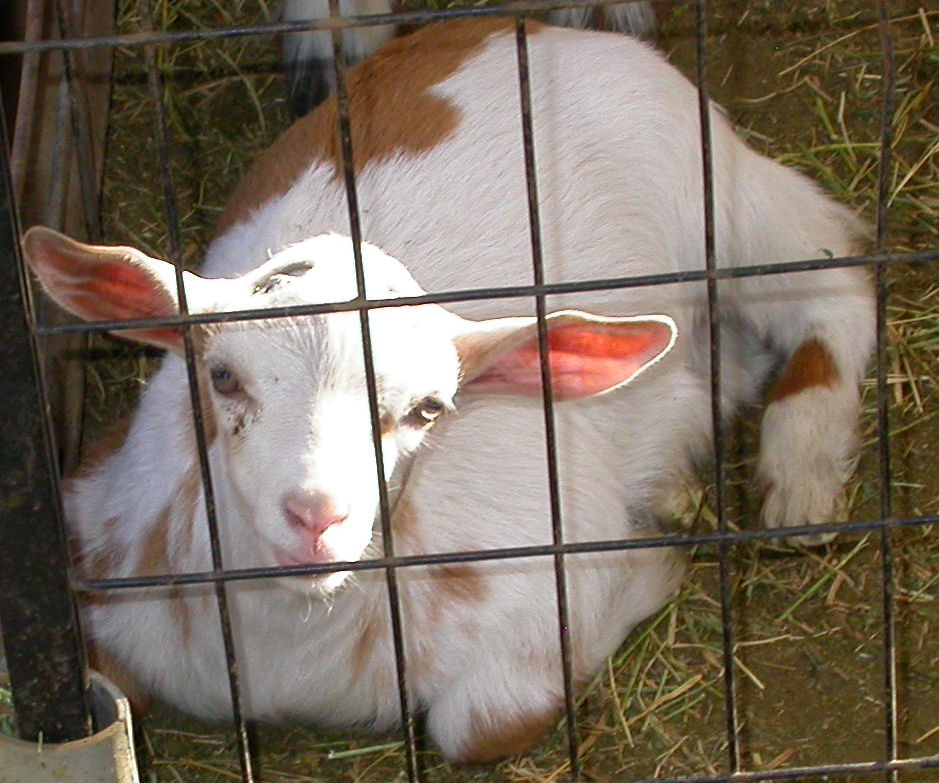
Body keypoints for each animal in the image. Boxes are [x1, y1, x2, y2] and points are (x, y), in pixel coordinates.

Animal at [23, 18, 874, 763]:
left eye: (428, 409)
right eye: (221, 376)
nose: (318, 516)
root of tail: (527, 28)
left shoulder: (543, 564)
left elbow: (481, 721)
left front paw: (650, 569)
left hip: (716, 194)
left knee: (828, 272)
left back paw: (800, 478)